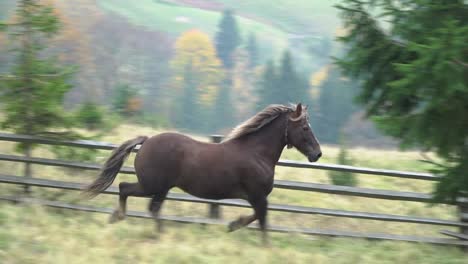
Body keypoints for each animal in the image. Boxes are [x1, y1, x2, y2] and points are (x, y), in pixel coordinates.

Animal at [84, 103, 322, 243]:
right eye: (305, 128)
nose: (317, 154)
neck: (256, 153)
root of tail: (147, 140)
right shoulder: (257, 195)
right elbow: (262, 220)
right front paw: (263, 246)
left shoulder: (255, 197)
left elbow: (256, 217)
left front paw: (232, 225)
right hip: (154, 186)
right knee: (138, 197)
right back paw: (150, 231)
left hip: (156, 187)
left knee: (134, 195)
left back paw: (121, 220)